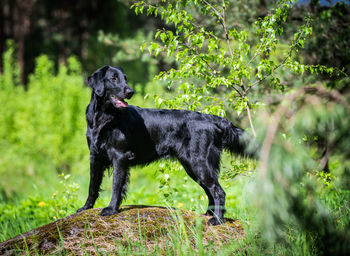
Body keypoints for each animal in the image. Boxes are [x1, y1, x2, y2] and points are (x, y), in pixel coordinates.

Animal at [78, 65, 250, 224]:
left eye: (125, 78)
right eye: (114, 78)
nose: (130, 91)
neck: (104, 118)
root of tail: (212, 118)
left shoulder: (120, 156)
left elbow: (116, 185)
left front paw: (111, 208)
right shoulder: (95, 156)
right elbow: (92, 185)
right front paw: (86, 207)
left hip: (199, 163)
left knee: (218, 191)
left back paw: (217, 219)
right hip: (192, 166)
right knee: (210, 190)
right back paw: (209, 214)